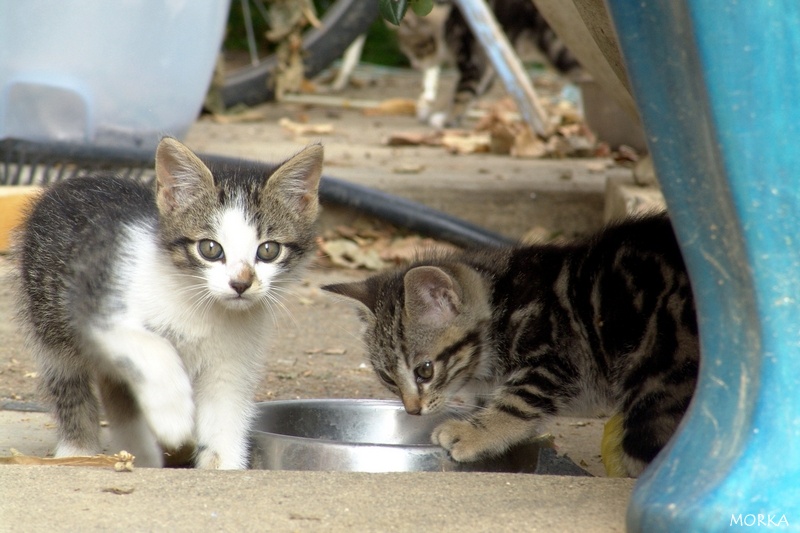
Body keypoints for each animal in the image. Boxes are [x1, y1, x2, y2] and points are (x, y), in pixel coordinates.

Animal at [14, 138, 324, 470]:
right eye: (210, 248)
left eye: (268, 250)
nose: (241, 284)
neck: (201, 305)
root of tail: (72, 182)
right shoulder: (95, 310)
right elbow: (156, 347)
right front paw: (174, 418)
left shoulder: (231, 362)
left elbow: (224, 418)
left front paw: (225, 466)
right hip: (49, 318)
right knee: (68, 380)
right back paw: (79, 448)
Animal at [324, 214, 700, 476]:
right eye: (388, 378)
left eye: (425, 370)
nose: (412, 410)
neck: (500, 303)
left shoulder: (556, 357)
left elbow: (517, 402)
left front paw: (474, 433)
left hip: (658, 382)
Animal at [396, 0, 580, 125]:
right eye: (407, 52)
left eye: (419, 48)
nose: (415, 66)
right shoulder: (490, 64)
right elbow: (460, 90)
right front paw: (433, 111)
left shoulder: (472, 60)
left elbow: (462, 92)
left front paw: (448, 118)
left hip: (556, 48)